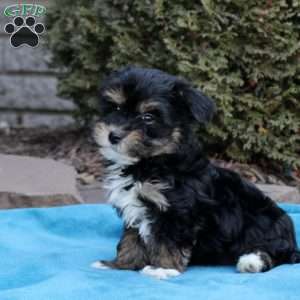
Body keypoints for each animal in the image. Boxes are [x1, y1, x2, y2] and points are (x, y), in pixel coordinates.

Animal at [92, 67, 298, 280]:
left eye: (148, 117)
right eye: (116, 108)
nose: (113, 136)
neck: (149, 162)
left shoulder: (178, 210)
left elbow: (168, 241)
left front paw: (162, 268)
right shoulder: (135, 208)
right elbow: (131, 239)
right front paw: (120, 264)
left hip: (267, 225)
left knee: (277, 253)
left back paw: (251, 261)